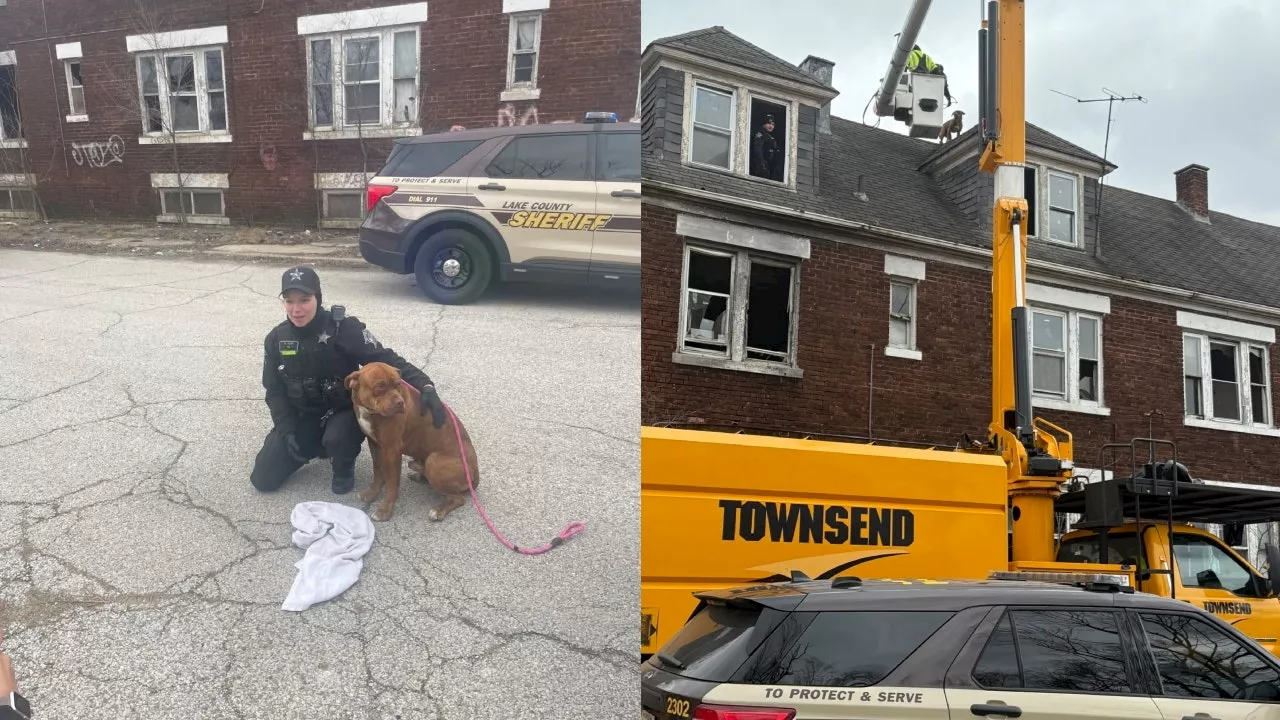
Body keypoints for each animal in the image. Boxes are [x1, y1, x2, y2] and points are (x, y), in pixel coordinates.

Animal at [343, 361, 478, 517]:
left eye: (397, 384)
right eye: (380, 386)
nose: (399, 402)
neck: (370, 412)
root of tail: (475, 475)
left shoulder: (392, 450)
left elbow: (392, 483)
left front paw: (385, 510)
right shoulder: (374, 444)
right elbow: (377, 470)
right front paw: (372, 493)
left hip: (434, 461)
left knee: (458, 498)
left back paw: (438, 511)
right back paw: (420, 474)